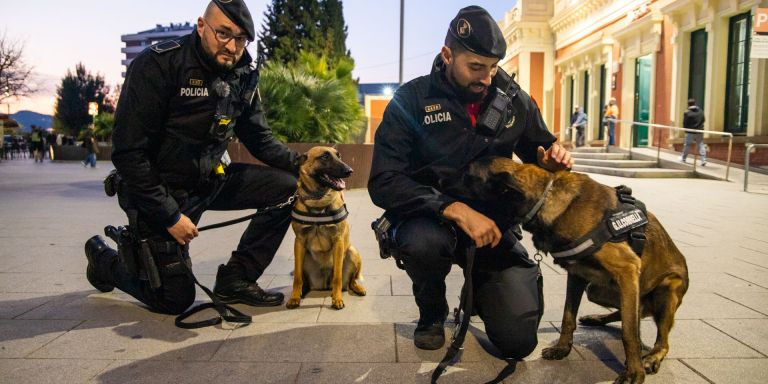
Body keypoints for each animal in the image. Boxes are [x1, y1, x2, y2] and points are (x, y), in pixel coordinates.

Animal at [286, 146, 368, 310]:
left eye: (339, 156)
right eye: (324, 157)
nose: (350, 170)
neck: (318, 200)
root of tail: (323, 285)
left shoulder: (338, 241)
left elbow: (337, 276)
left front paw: (337, 299)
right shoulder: (299, 242)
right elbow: (297, 277)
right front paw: (294, 297)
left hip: (352, 251)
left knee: (350, 280)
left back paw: (357, 288)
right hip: (303, 258)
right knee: (302, 278)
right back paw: (302, 292)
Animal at [460, 157, 688, 384]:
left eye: (469, 175)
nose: (450, 200)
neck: (545, 198)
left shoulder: (628, 268)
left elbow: (629, 333)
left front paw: (634, 372)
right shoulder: (577, 276)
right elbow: (567, 317)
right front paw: (562, 348)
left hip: (666, 290)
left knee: (659, 339)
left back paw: (650, 358)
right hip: (596, 290)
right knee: (632, 311)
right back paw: (597, 318)